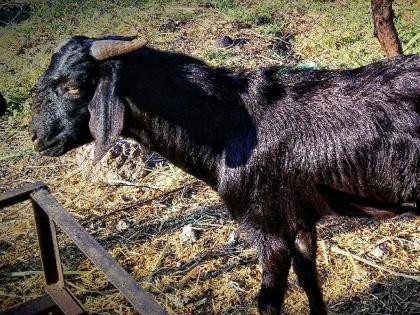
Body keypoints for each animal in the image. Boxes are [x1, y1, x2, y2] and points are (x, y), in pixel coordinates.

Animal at [30, 35, 420, 314]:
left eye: (75, 86)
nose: (38, 138)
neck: (227, 126)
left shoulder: (267, 225)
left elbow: (268, 303)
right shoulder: (298, 217)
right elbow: (310, 280)